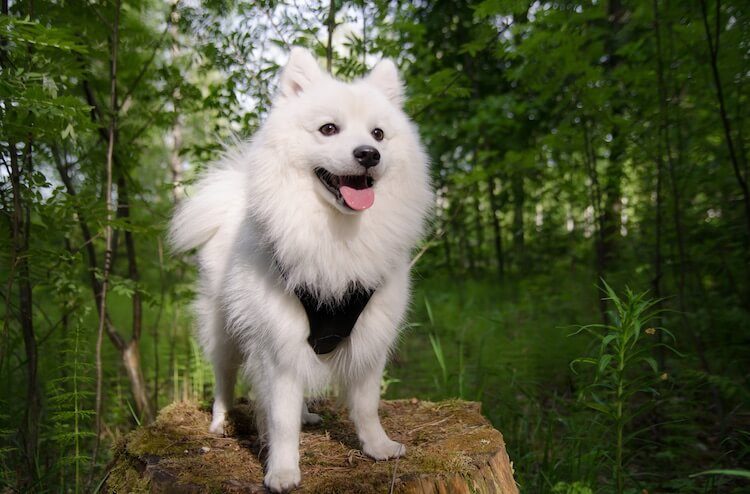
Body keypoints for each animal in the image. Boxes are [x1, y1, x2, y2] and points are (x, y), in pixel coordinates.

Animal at [167, 48, 432, 492]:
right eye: (328, 129)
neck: (336, 234)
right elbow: (280, 417)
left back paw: (308, 414)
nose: (368, 154)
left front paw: (377, 446)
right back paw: (221, 421)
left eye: (378, 134)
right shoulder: (278, 344)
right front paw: (283, 470)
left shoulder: (370, 335)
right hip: (223, 331)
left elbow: (366, 404)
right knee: (224, 377)